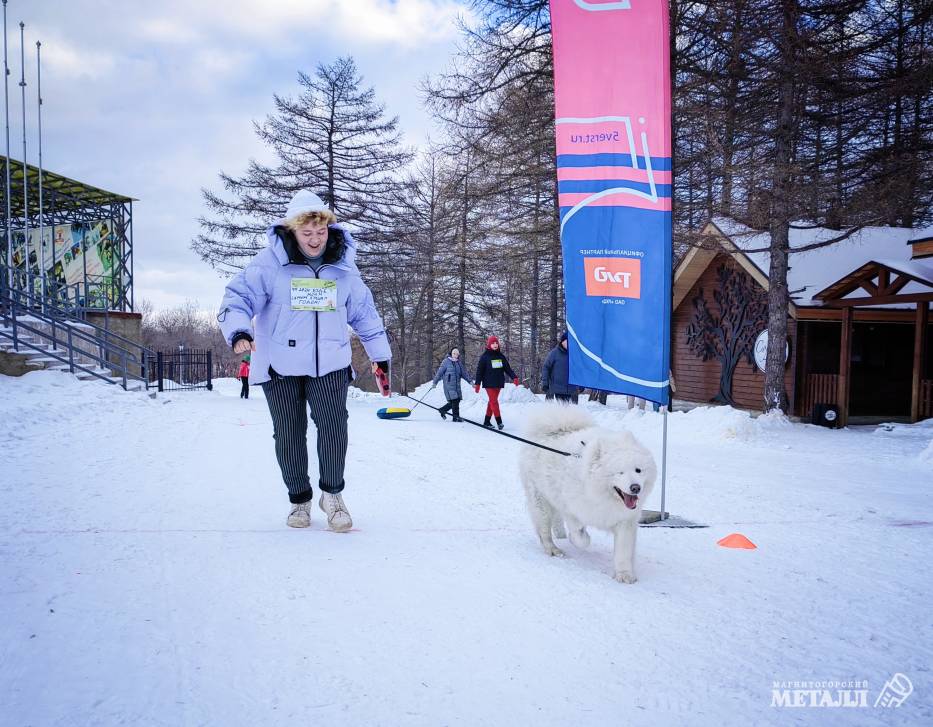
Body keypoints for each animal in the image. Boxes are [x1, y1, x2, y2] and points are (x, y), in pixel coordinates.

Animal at [516, 406, 656, 584]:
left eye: (638, 470)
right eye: (620, 472)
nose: (635, 488)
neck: (602, 495)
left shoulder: (625, 521)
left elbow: (623, 551)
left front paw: (624, 575)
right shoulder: (572, 508)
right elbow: (579, 535)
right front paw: (582, 538)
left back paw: (561, 535)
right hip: (540, 500)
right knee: (544, 530)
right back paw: (553, 549)